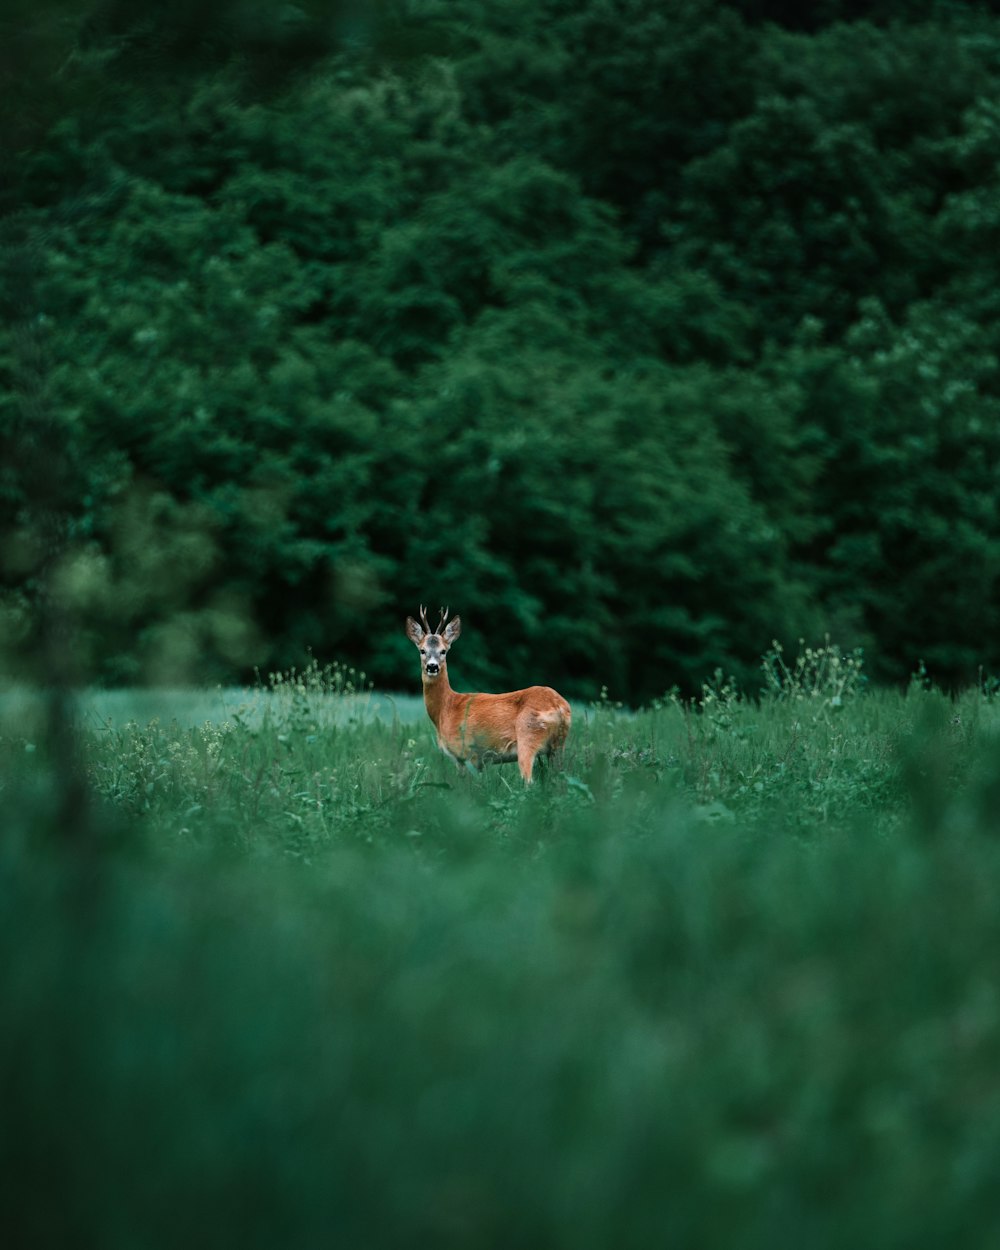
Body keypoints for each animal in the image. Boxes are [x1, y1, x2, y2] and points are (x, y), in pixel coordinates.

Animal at [405, 602, 575, 780]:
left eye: (443, 651)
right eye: (422, 650)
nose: (432, 666)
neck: (445, 708)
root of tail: (559, 706)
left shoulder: (465, 752)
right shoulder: (480, 761)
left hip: (528, 737)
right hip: (558, 746)